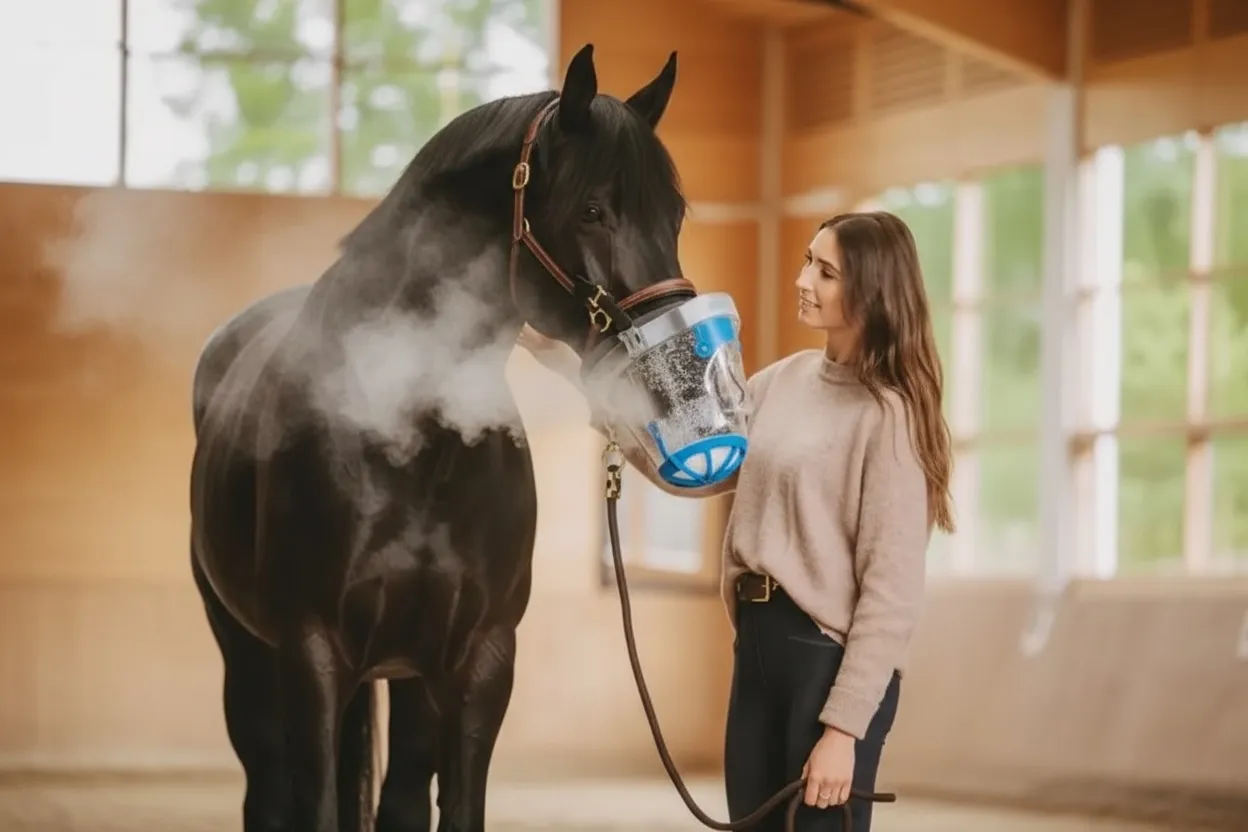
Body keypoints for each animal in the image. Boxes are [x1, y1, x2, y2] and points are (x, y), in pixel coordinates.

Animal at [188, 43, 698, 832]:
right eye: (591, 208)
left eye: (674, 213)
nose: (673, 369)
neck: (415, 446)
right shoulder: (312, 653)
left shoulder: (479, 661)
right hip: (246, 651)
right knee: (268, 793)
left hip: (407, 675)